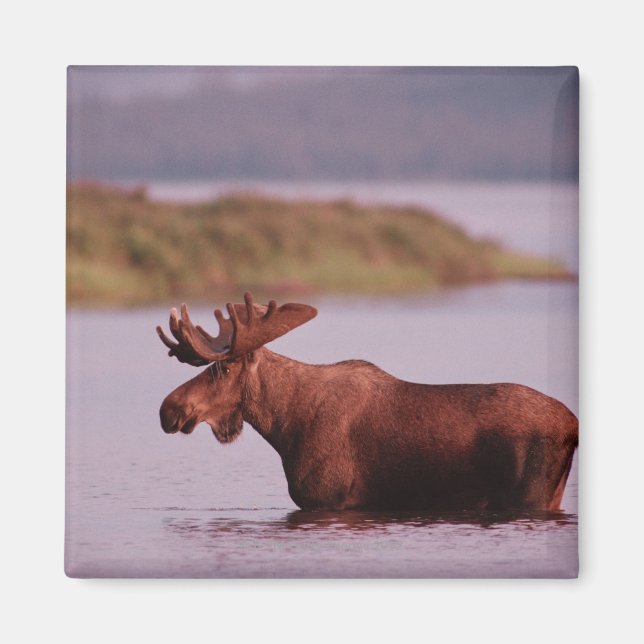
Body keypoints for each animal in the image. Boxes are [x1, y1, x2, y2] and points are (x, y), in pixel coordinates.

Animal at [157, 292, 578, 513]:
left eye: (224, 368)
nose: (168, 409)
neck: (285, 428)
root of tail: (572, 427)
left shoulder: (328, 500)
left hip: (532, 497)